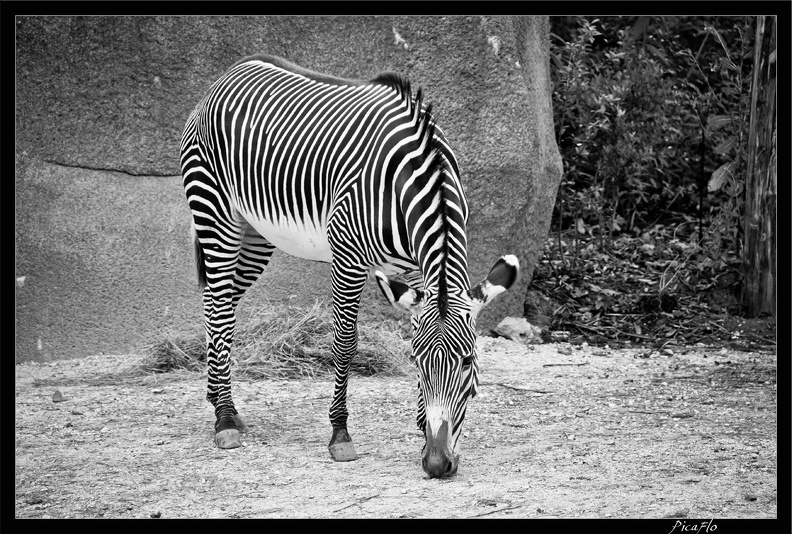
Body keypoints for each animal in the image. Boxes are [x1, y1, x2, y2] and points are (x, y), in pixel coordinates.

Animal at [183, 55, 524, 482]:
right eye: (419, 363)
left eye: (466, 362)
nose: (437, 464)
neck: (418, 179)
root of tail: (231, 72)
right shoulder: (347, 256)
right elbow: (345, 344)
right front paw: (340, 433)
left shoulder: (415, 272)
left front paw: (420, 431)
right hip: (216, 214)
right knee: (220, 307)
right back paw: (225, 419)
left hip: (256, 234)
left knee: (218, 303)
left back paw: (218, 400)